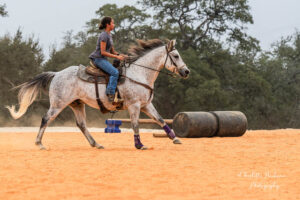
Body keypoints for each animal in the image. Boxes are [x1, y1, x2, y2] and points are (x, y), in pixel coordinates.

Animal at [5, 38, 190, 149]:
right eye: (175, 55)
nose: (186, 71)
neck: (139, 73)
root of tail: (56, 74)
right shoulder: (134, 105)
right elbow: (136, 124)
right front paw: (139, 145)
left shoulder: (146, 105)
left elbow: (160, 120)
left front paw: (175, 138)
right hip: (58, 103)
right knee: (46, 119)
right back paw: (39, 143)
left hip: (77, 104)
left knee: (81, 124)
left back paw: (96, 143)